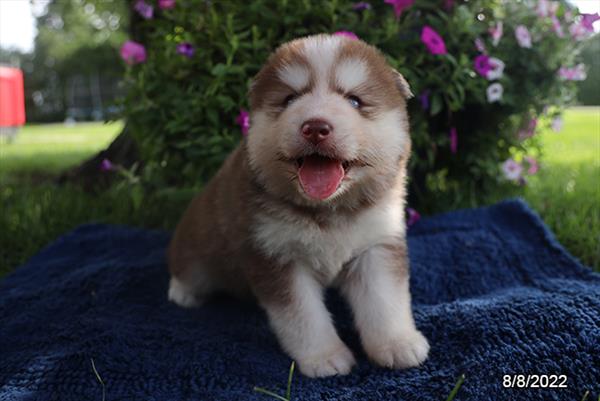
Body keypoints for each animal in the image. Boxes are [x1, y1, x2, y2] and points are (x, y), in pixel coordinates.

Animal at [169, 33, 428, 376]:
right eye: (290, 99)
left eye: (355, 101)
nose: (315, 127)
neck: (329, 210)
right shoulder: (276, 254)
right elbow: (303, 316)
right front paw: (325, 357)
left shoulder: (377, 244)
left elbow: (384, 300)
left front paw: (397, 344)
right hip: (198, 244)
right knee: (189, 268)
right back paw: (182, 292)